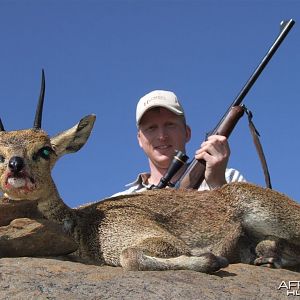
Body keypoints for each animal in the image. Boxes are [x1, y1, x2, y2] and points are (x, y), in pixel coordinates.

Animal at [0, 73, 300, 274]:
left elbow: (129, 256)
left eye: (46, 150)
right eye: (0, 152)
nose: (16, 166)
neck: (80, 225)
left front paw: (212, 259)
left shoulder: (156, 239)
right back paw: (266, 254)